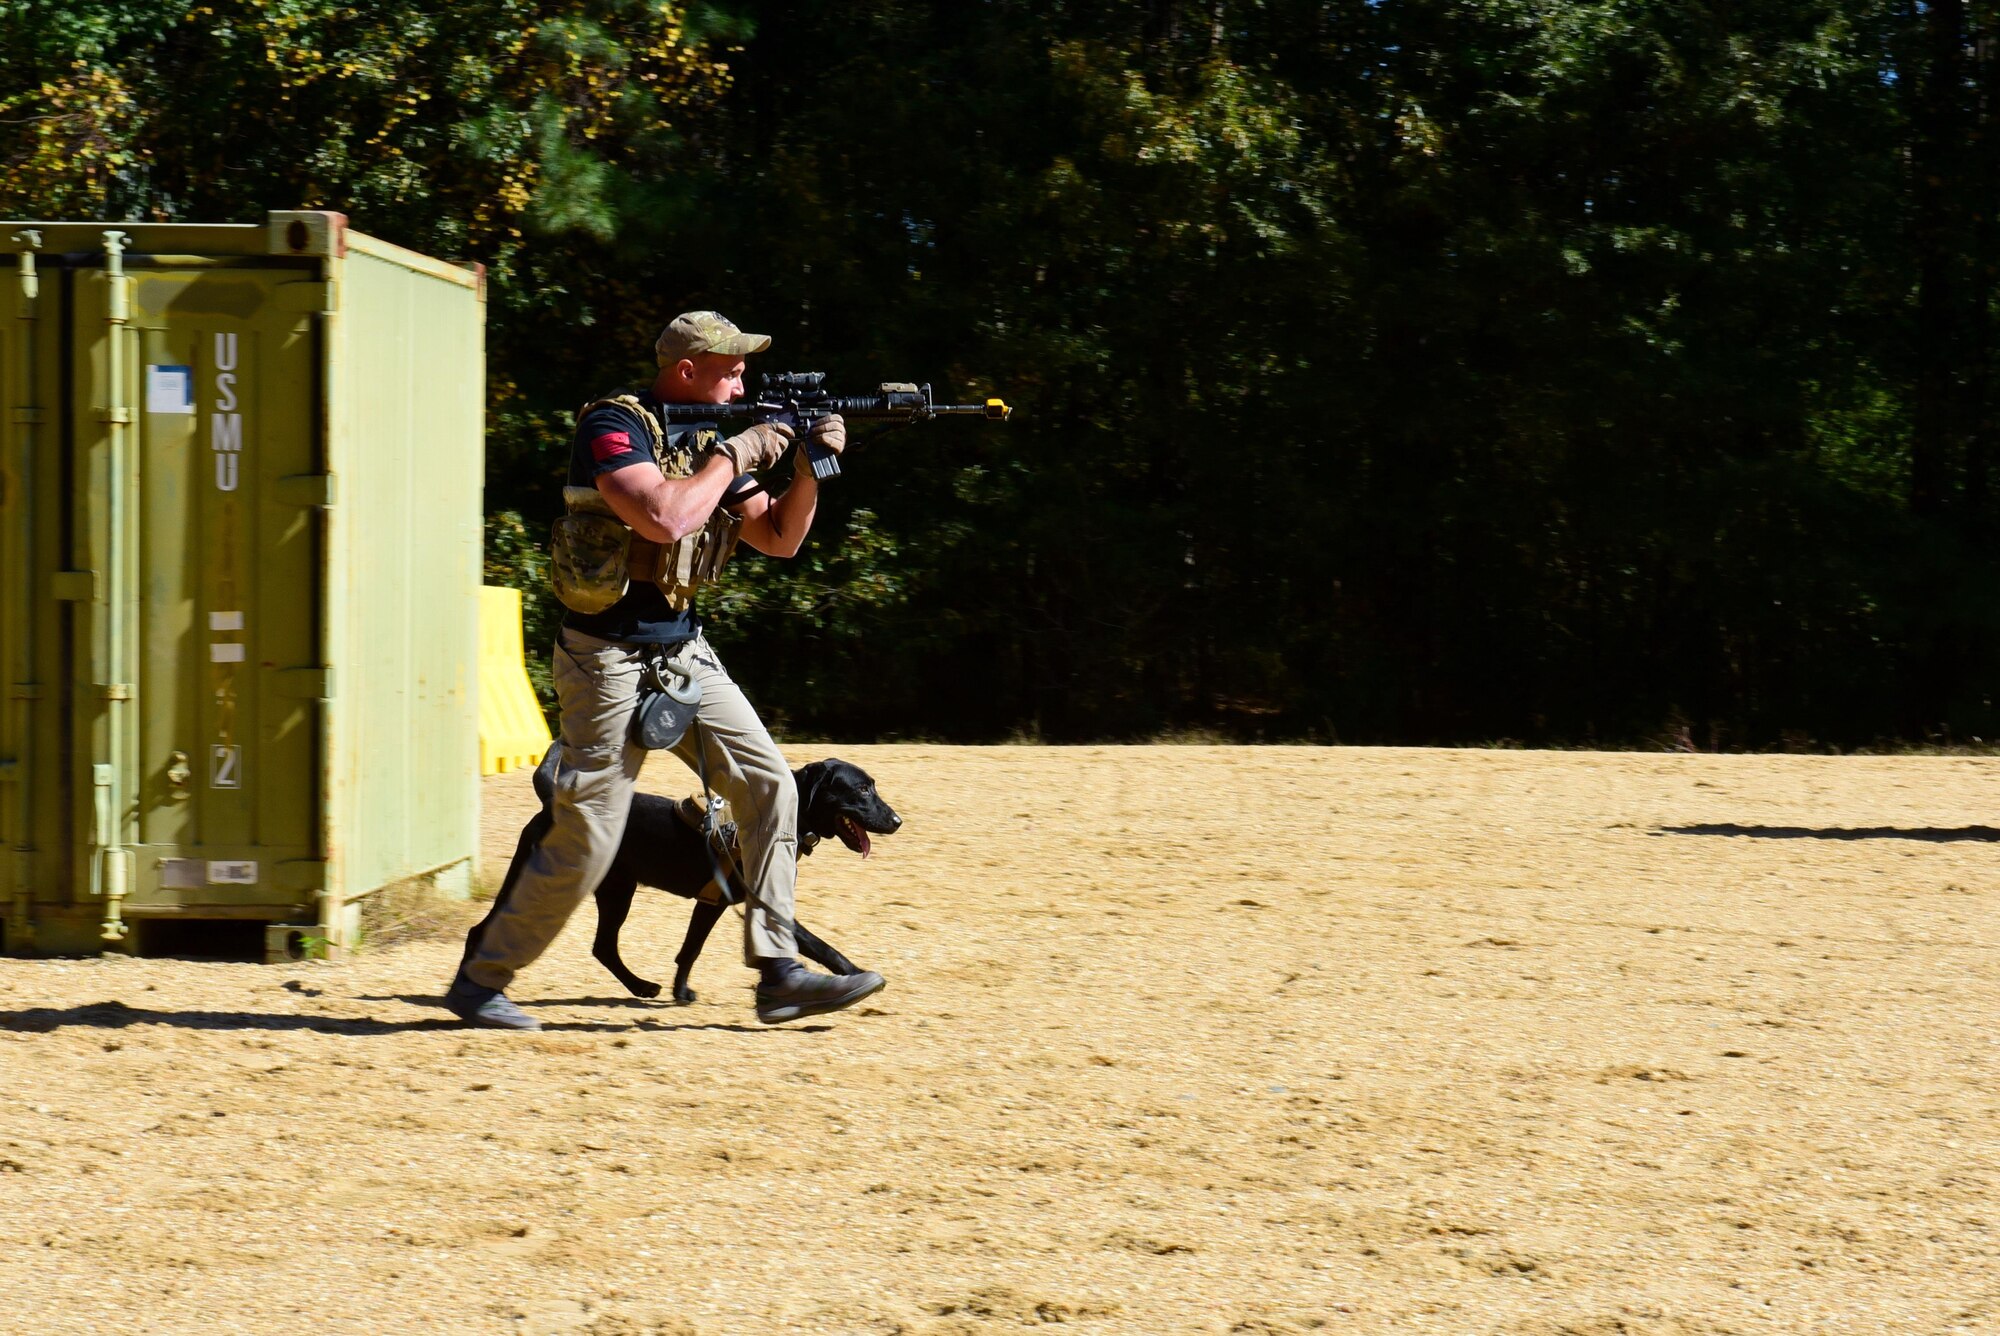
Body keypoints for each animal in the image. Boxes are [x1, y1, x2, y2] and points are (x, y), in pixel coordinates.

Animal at [464, 752, 904, 1000]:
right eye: (862, 790)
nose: (898, 821)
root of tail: (553, 803)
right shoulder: (761, 902)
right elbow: (820, 946)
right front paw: (855, 975)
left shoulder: (713, 903)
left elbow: (689, 949)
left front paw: (679, 990)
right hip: (554, 883)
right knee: (483, 930)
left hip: (616, 891)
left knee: (603, 947)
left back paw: (641, 987)